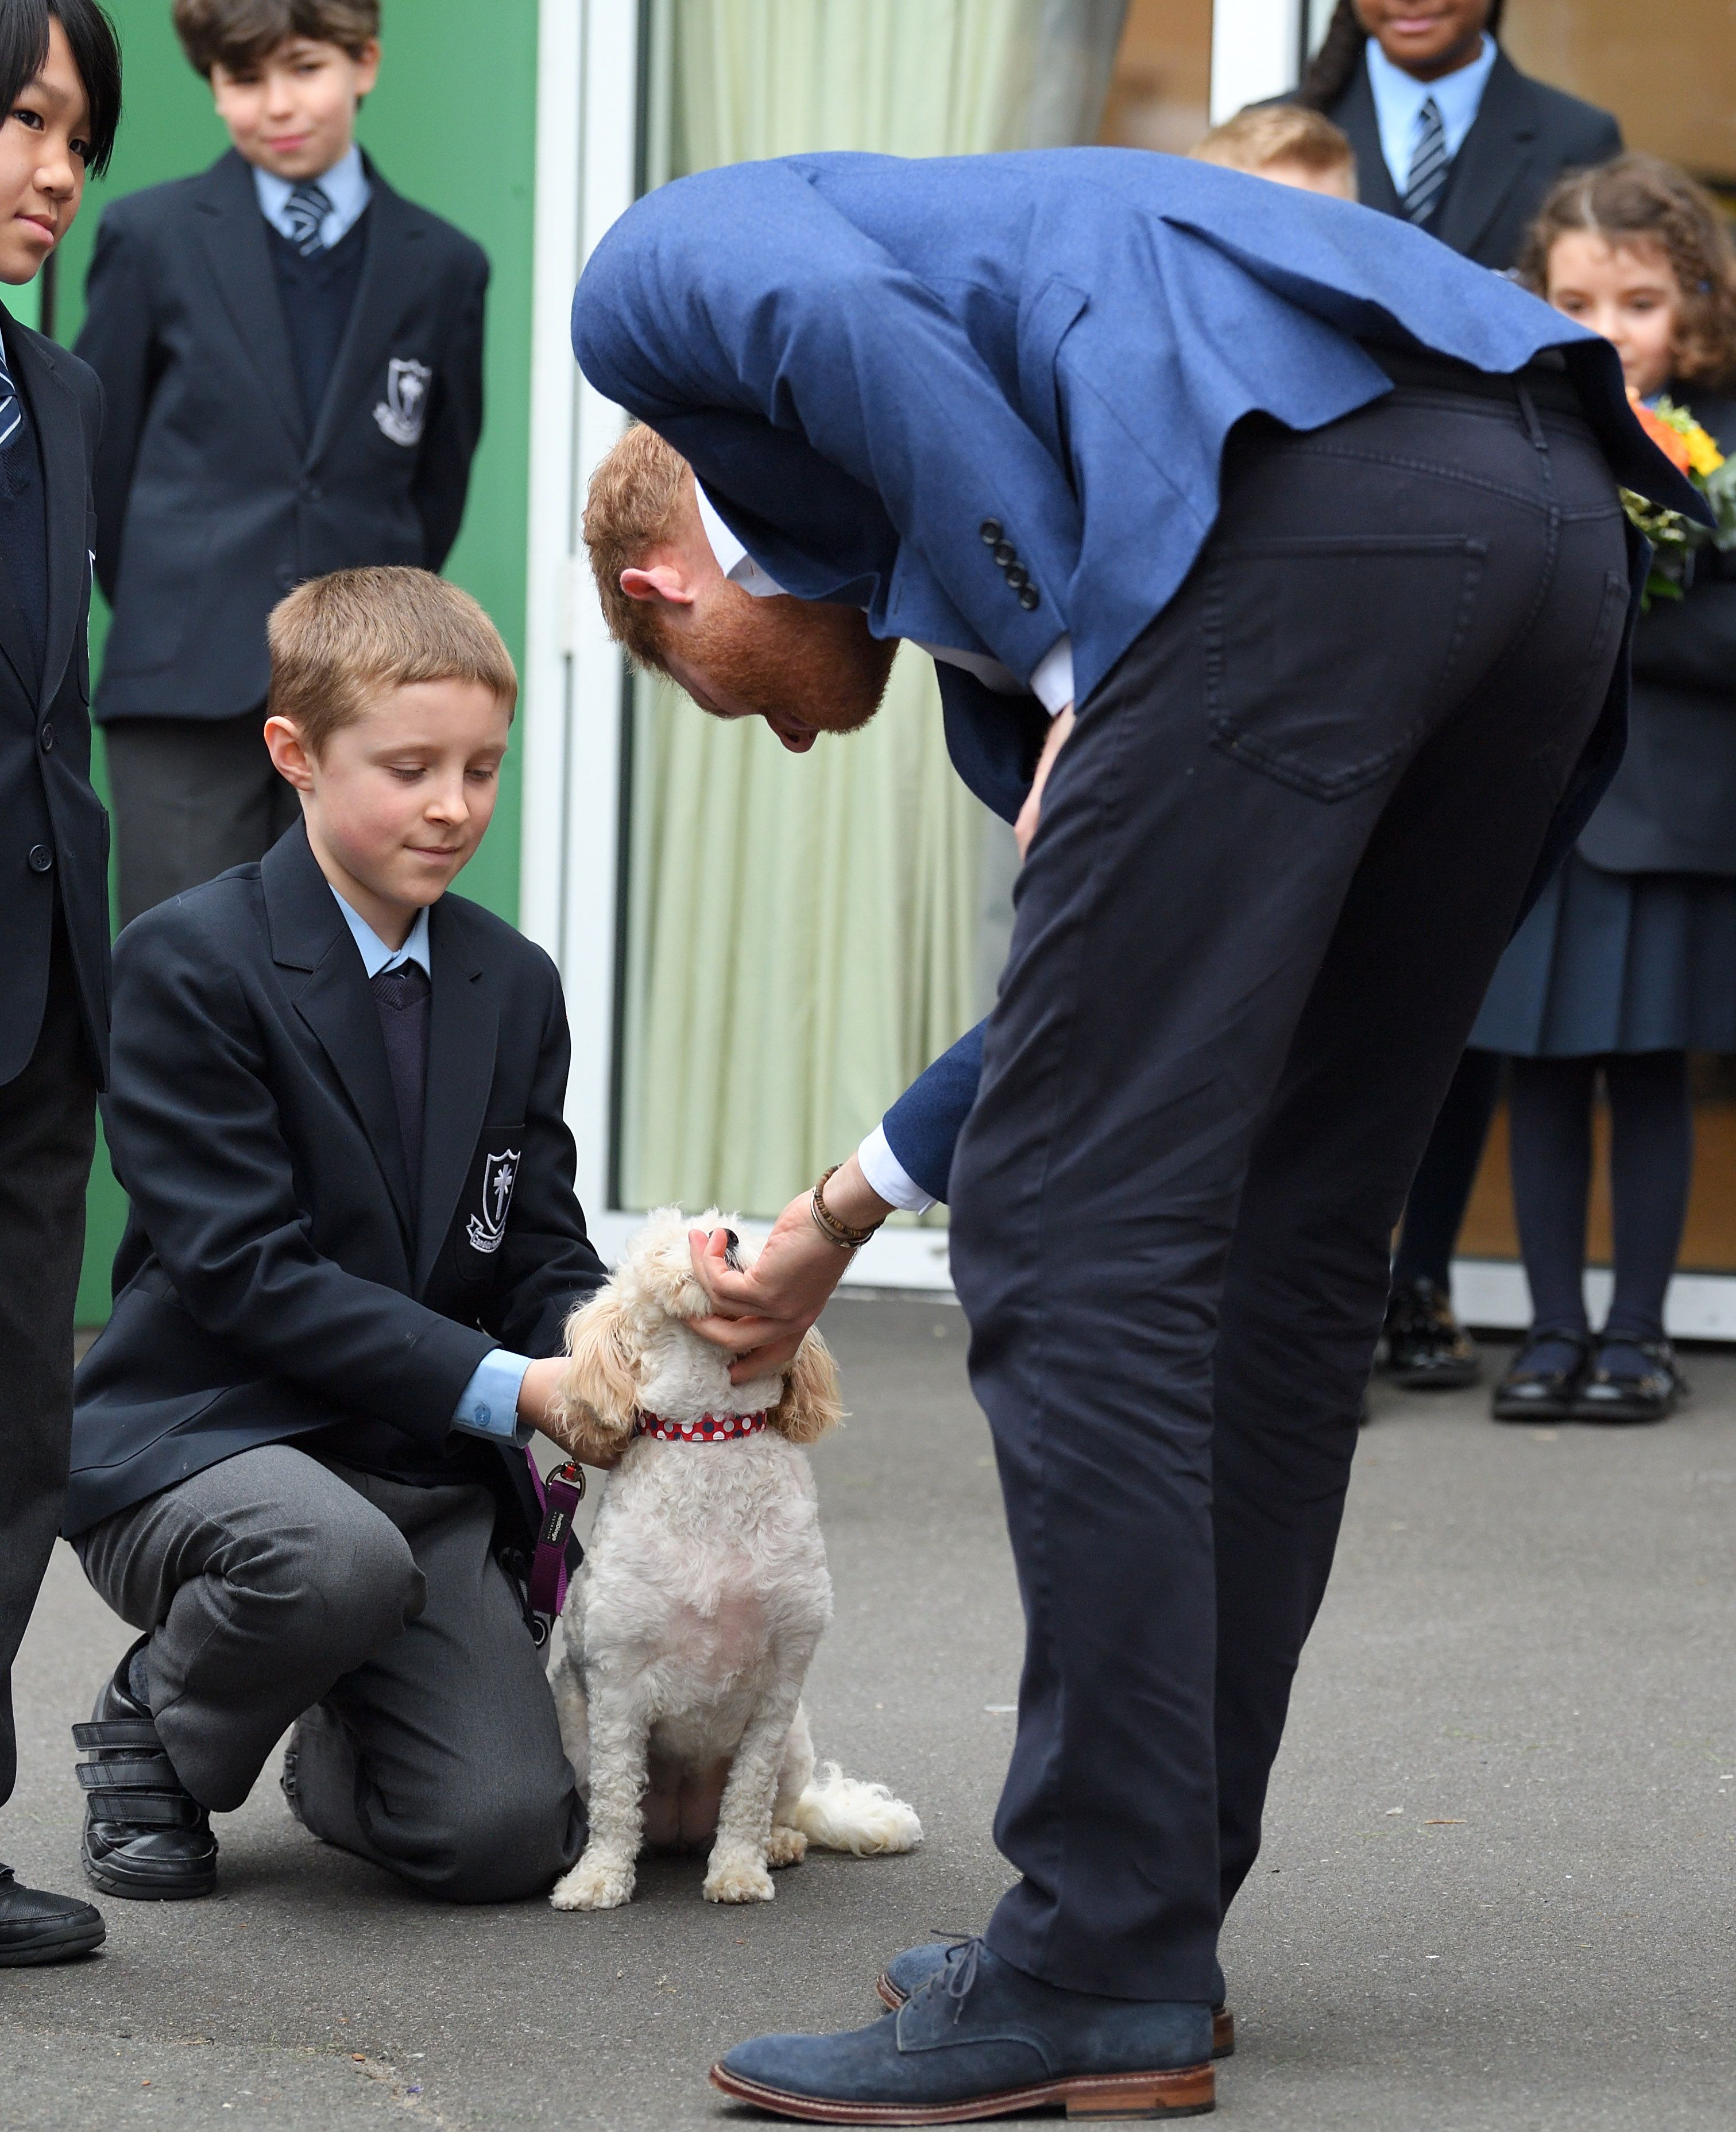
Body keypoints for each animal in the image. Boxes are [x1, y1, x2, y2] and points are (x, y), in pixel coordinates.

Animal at [546, 1211, 925, 1910]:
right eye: (668, 1241)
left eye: (738, 1228)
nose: (725, 1240)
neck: (711, 1434)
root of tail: (678, 1827)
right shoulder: (616, 1683)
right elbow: (614, 1799)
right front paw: (598, 1878)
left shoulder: (780, 1684)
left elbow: (748, 1791)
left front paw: (739, 1872)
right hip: (572, 1728)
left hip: (799, 1743)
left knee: (780, 1805)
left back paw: (779, 1843)